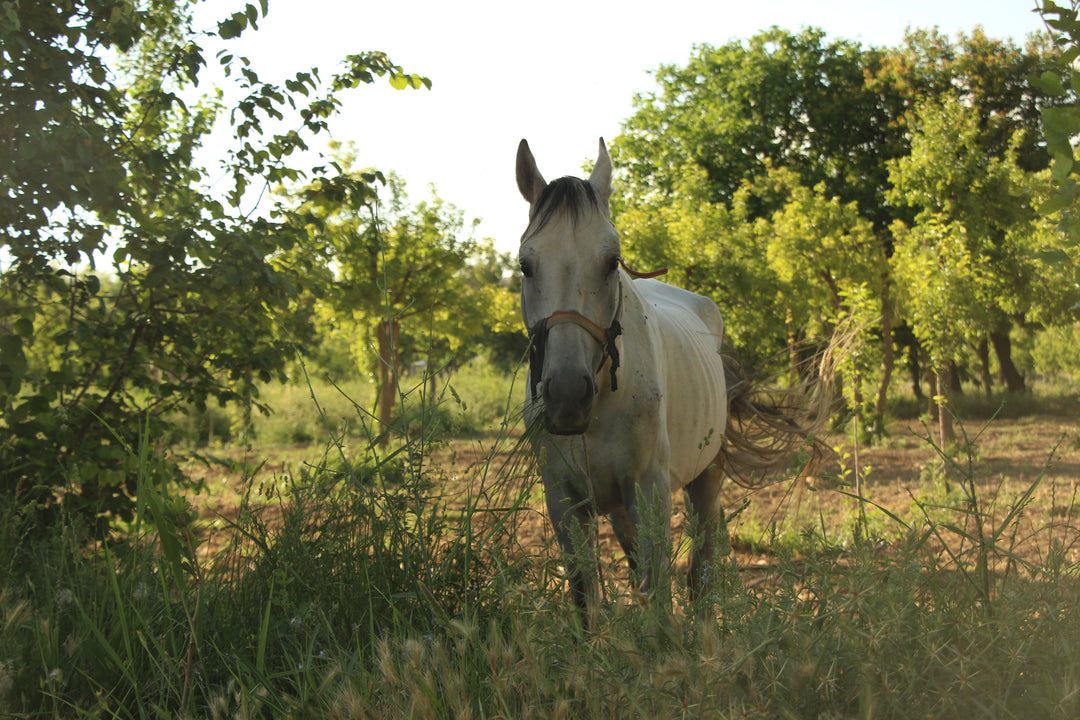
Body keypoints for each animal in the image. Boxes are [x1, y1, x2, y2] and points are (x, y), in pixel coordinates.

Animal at [514, 138, 825, 613]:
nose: (567, 395)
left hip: (705, 479)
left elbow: (660, 601)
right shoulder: (565, 502)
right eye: (526, 265)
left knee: (699, 576)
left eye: (612, 262)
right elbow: (589, 602)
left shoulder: (650, 493)